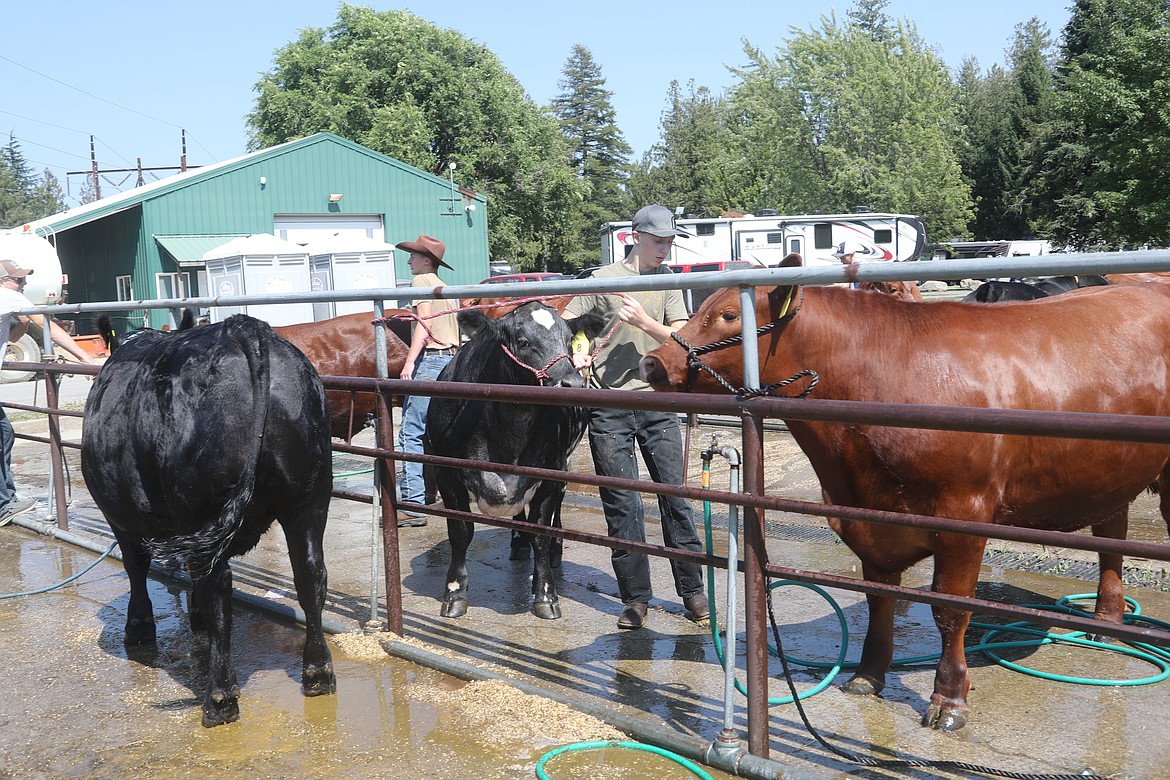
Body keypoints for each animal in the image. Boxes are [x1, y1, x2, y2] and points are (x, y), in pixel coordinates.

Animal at [80, 313, 336, 729]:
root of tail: (242, 328)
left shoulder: (121, 517)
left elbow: (136, 566)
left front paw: (138, 627)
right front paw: (192, 616)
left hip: (200, 504)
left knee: (217, 583)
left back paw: (219, 698)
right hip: (310, 499)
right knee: (309, 574)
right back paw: (318, 673)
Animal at [425, 301, 603, 617]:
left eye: (569, 340)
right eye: (522, 342)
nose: (572, 382)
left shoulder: (551, 472)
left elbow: (541, 533)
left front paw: (546, 595)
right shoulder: (447, 472)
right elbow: (460, 532)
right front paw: (454, 593)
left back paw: (554, 549)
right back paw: (518, 543)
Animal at [641, 261, 1170, 734]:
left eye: (730, 315)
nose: (654, 362)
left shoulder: (964, 515)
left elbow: (950, 611)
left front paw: (948, 701)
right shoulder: (868, 520)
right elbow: (879, 598)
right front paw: (867, 676)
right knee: (1111, 531)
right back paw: (1105, 620)